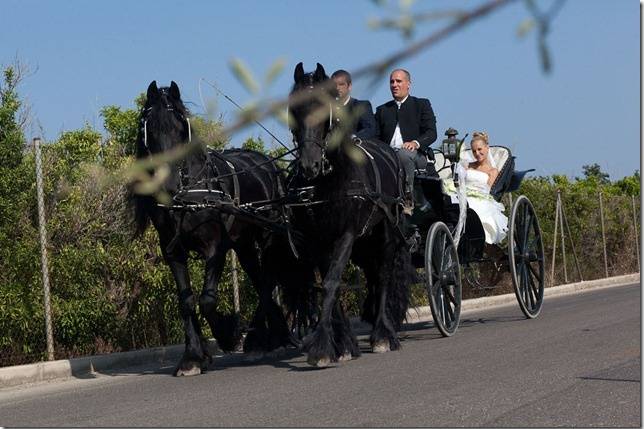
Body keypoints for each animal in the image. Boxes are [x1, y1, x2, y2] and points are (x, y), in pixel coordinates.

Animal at [133, 80, 304, 374]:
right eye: (150, 130)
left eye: (180, 129)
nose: (168, 185)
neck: (190, 192)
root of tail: (269, 165)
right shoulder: (173, 252)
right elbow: (186, 302)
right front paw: (192, 357)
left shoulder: (216, 247)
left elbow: (207, 300)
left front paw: (228, 335)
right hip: (245, 245)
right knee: (259, 280)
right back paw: (270, 338)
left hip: (269, 235)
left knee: (267, 280)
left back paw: (261, 340)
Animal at [286, 61, 412, 366]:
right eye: (294, 109)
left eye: (324, 110)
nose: (309, 165)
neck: (329, 181)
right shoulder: (317, 241)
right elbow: (329, 284)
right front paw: (341, 345)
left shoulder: (345, 234)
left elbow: (332, 282)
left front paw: (321, 347)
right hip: (365, 244)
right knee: (374, 277)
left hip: (386, 233)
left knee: (383, 276)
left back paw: (382, 335)